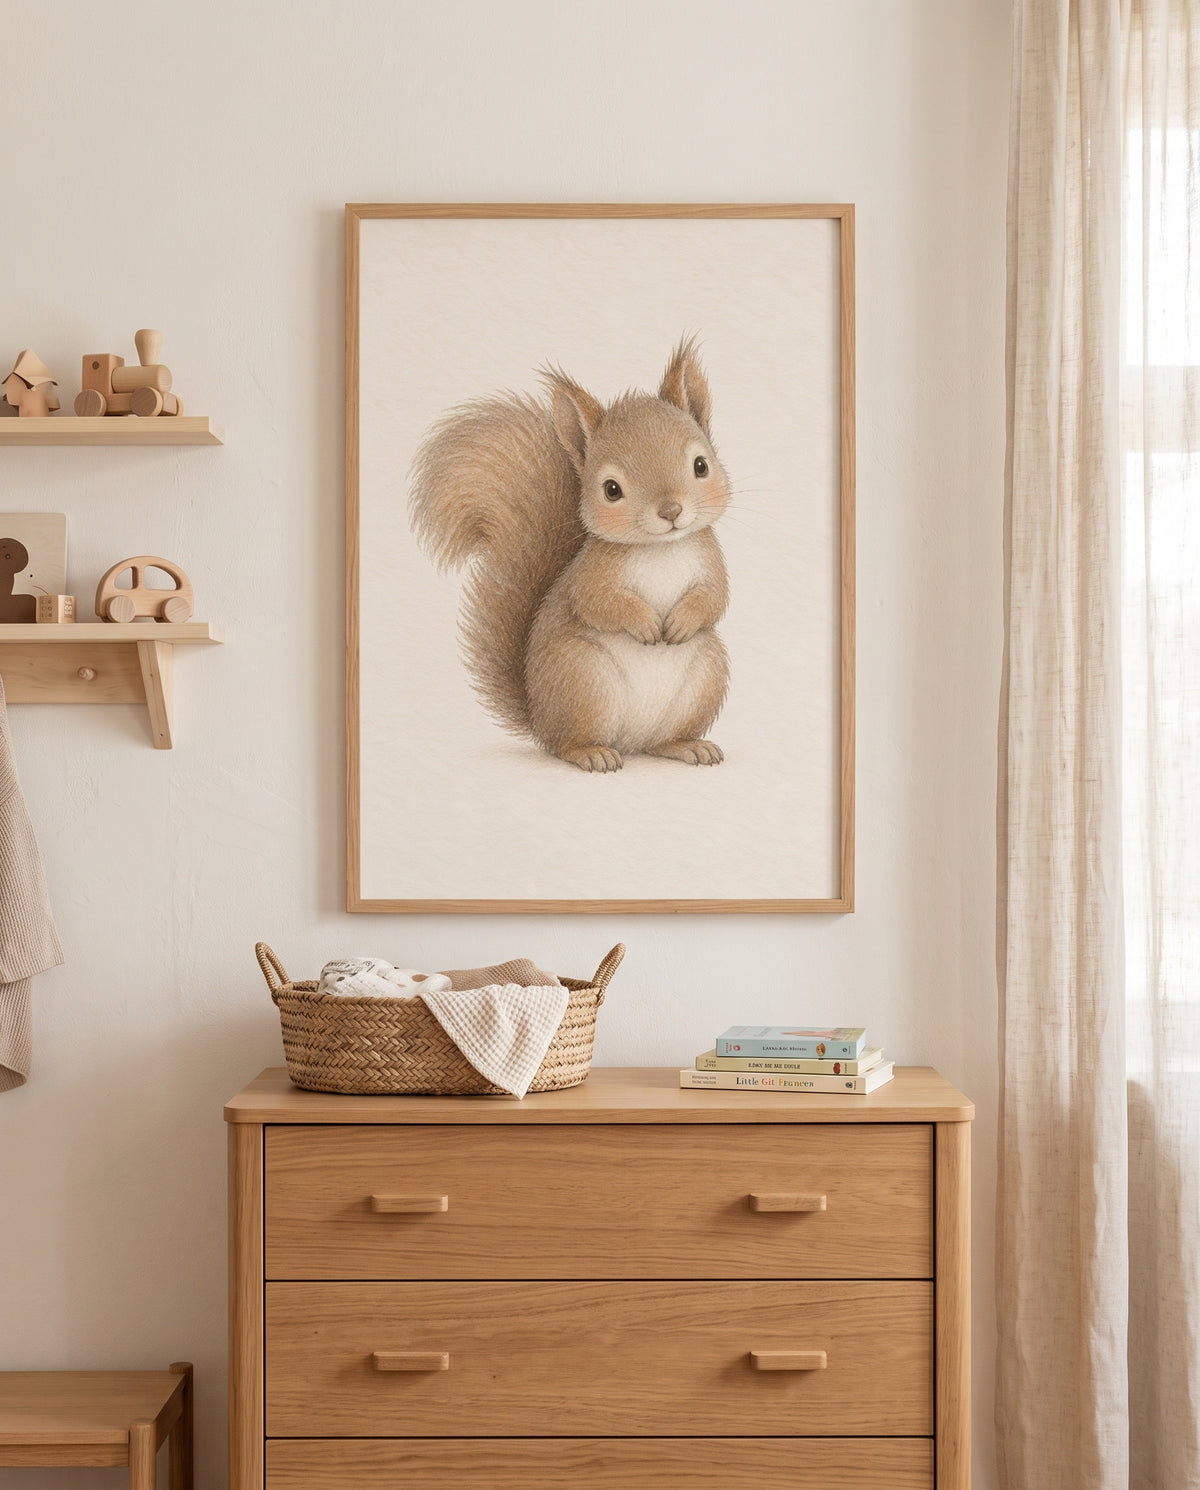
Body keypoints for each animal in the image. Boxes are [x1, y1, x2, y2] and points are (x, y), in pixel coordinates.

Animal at [408, 336, 731, 773]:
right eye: (611, 489)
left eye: (700, 465)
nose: (670, 511)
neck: (660, 549)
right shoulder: (591, 574)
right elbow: (598, 603)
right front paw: (645, 623)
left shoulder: (711, 561)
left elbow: (713, 598)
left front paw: (681, 621)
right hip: (582, 678)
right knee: (565, 744)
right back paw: (592, 753)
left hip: (704, 678)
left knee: (660, 740)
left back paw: (687, 746)